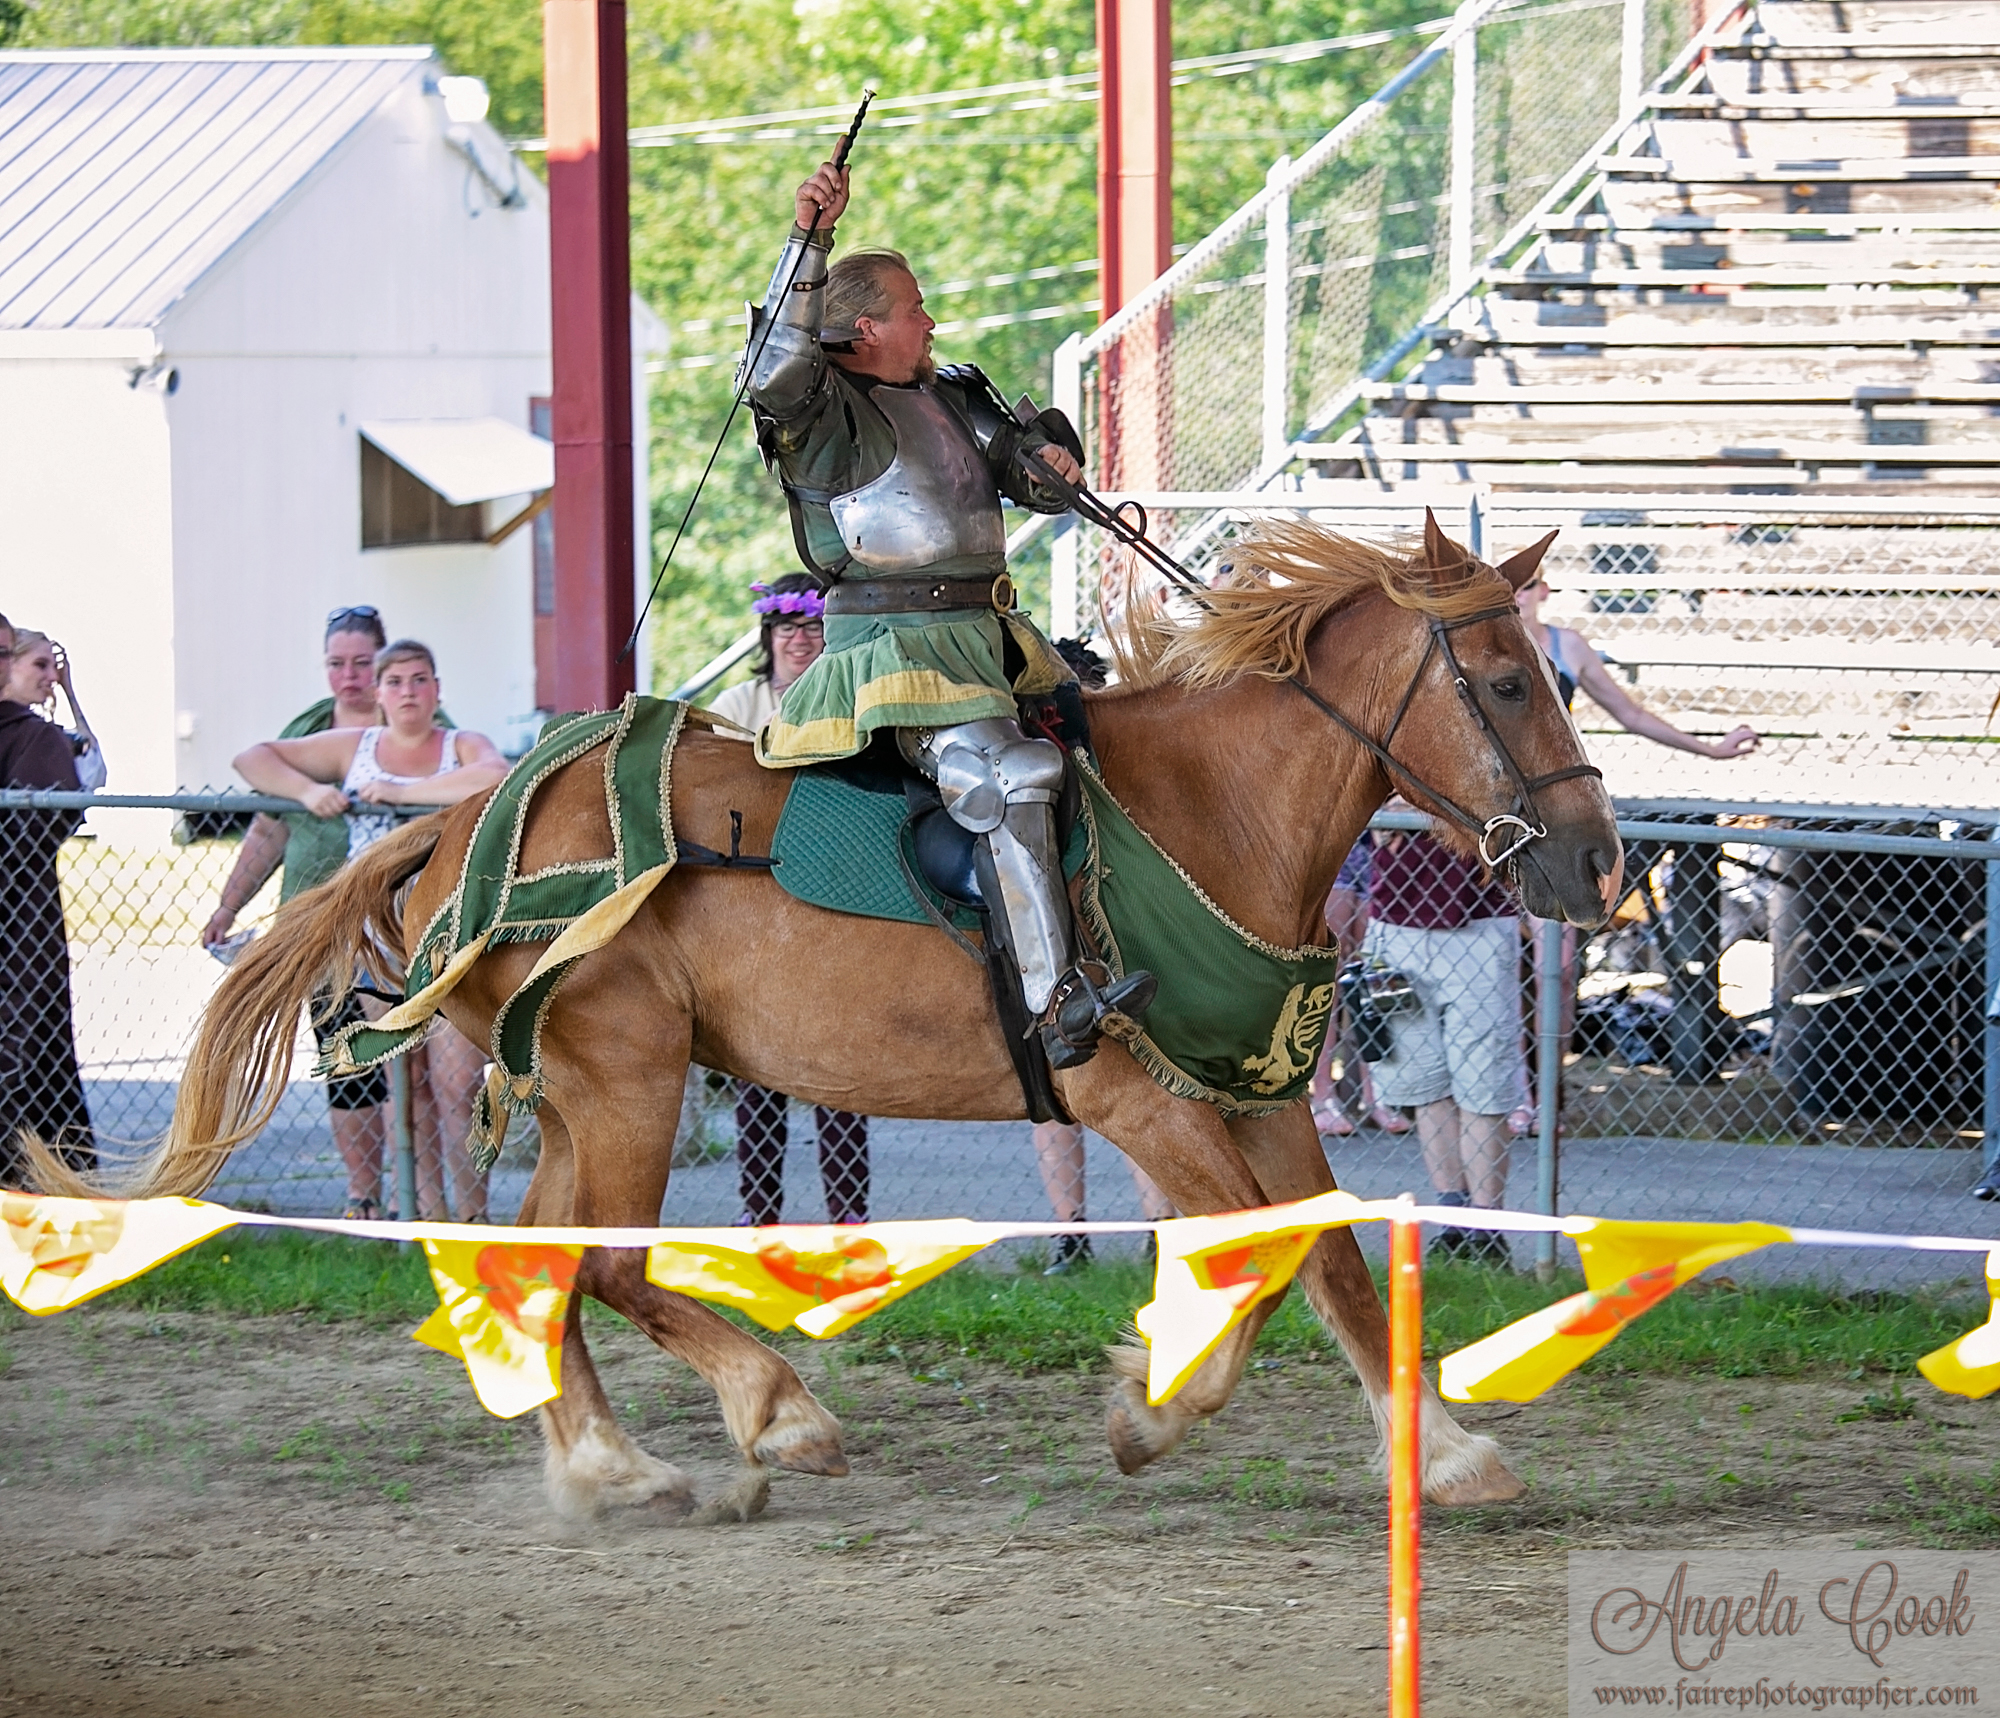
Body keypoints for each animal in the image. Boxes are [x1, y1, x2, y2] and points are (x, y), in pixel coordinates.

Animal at [29, 515, 1622, 1525]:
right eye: (1499, 679)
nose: (1595, 859)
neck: (1203, 813)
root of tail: (447, 824)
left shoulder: (1262, 1093)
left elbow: (1337, 1264)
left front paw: (1444, 1451)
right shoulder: (1137, 1100)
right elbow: (1264, 1263)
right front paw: (1149, 1411)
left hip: (591, 1087)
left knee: (539, 1262)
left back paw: (616, 1469)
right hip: (629, 1075)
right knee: (608, 1260)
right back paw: (771, 1412)